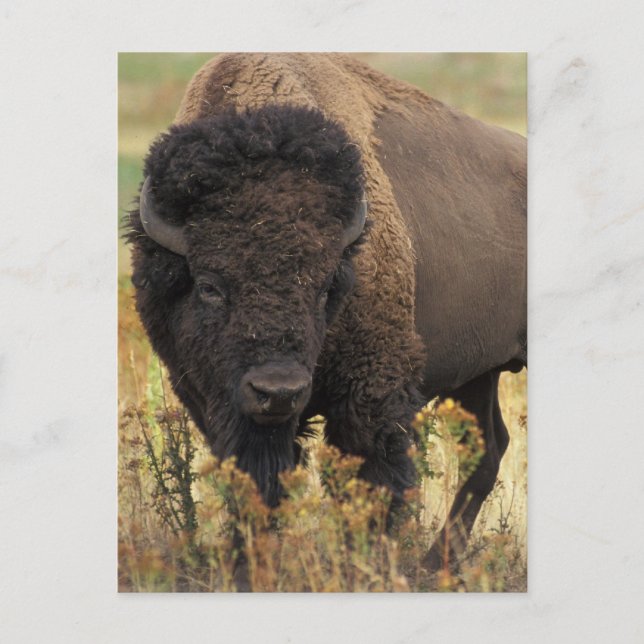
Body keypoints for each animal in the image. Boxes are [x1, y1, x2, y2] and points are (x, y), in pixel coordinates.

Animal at [128, 53, 526, 569]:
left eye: (323, 288)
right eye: (210, 286)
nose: (278, 391)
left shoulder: (370, 393)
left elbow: (371, 480)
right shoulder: (212, 399)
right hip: (479, 373)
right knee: (488, 449)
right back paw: (437, 563)